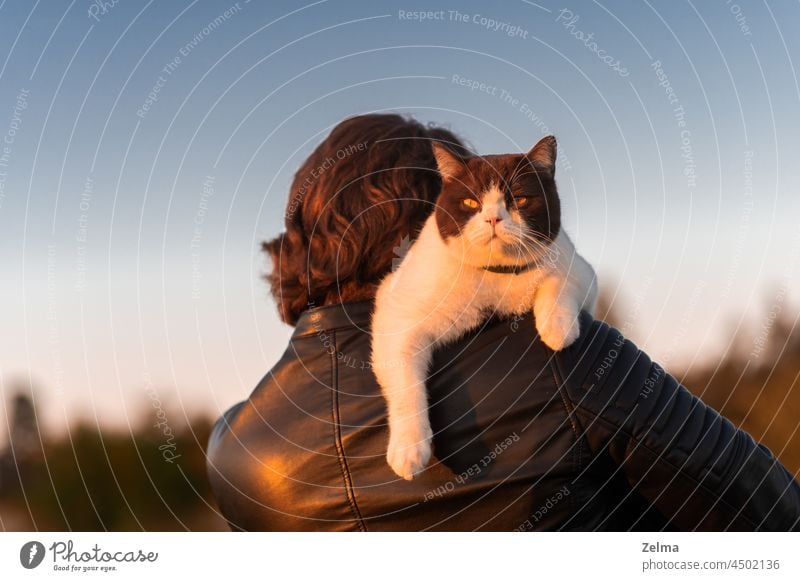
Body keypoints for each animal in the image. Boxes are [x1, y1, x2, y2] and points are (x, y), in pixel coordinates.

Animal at [368, 136, 592, 480]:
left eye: (520, 200)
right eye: (471, 203)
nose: (493, 219)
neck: (496, 277)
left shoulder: (578, 267)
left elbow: (557, 282)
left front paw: (557, 329)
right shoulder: (396, 312)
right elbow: (406, 384)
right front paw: (409, 450)